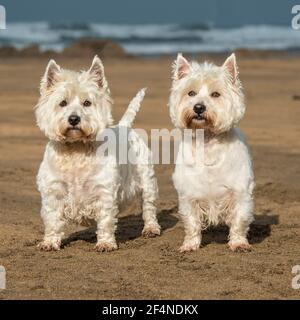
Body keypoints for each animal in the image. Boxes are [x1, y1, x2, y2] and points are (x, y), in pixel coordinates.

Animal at [34, 57, 161, 252]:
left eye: (87, 103)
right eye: (62, 103)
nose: (74, 119)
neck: (76, 151)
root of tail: (124, 126)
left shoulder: (104, 191)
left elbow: (106, 221)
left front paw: (106, 243)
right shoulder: (53, 192)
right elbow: (52, 221)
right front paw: (49, 243)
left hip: (147, 180)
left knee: (149, 207)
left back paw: (151, 229)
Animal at [168, 52, 254, 252]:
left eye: (216, 94)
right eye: (191, 93)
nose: (199, 107)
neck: (207, 140)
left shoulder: (240, 191)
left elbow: (239, 219)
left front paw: (239, 243)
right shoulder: (188, 194)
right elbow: (191, 222)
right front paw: (190, 245)